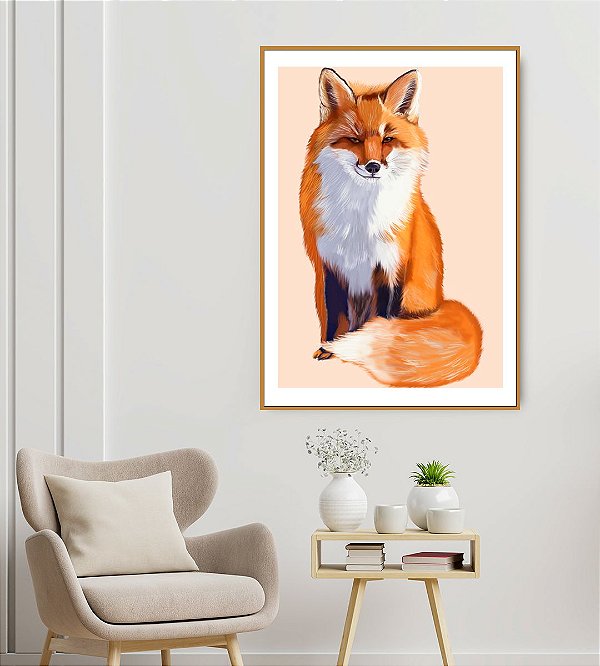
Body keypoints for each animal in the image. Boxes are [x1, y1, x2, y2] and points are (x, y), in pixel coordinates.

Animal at [299, 68, 482, 387]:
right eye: (354, 139)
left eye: (388, 139)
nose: (373, 166)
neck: (360, 218)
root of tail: (441, 303)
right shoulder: (329, 265)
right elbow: (332, 314)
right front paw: (327, 348)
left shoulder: (391, 266)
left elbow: (386, 318)